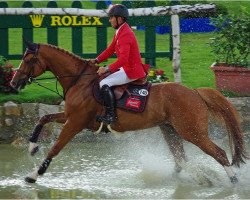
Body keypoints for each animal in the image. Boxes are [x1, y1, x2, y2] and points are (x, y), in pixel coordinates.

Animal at [10, 41, 248, 184]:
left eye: (28, 60)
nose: (13, 83)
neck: (79, 81)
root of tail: (194, 92)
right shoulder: (71, 118)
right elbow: (43, 118)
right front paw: (32, 147)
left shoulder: (75, 123)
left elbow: (55, 148)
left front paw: (33, 175)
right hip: (170, 129)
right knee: (180, 159)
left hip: (191, 131)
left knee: (218, 153)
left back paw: (233, 182)